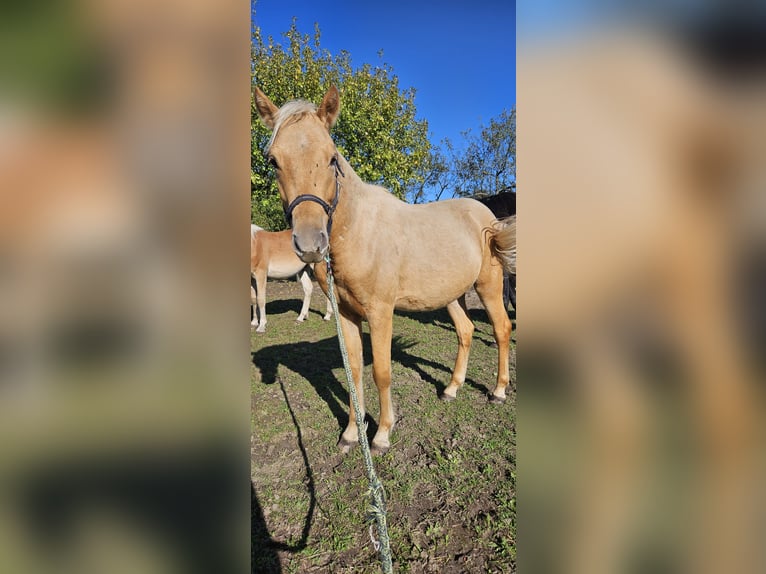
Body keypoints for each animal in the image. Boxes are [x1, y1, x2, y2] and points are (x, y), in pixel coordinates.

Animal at [256, 85, 516, 456]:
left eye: (332, 158)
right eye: (273, 161)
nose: (309, 242)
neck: (357, 231)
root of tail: (487, 217)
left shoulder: (380, 312)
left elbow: (381, 372)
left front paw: (381, 435)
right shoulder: (345, 313)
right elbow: (353, 372)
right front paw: (352, 434)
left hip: (489, 287)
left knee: (501, 329)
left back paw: (498, 391)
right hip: (452, 295)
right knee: (466, 331)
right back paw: (451, 389)